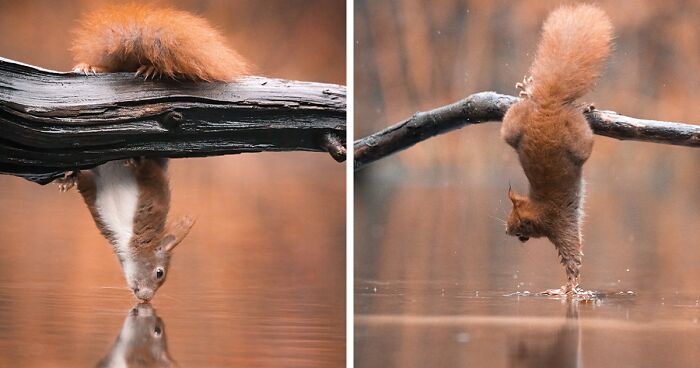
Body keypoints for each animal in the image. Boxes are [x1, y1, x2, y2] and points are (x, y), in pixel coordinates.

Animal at [56, 2, 249, 300]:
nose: (145, 297)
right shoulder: (127, 189)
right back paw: (90, 66)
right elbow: (97, 177)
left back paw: (149, 68)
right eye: (159, 273)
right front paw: (68, 177)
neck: (128, 238)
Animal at [500, 4, 608, 294]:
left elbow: (572, 256)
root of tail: (549, 106)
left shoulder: (560, 224)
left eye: (517, 226)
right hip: (559, 136)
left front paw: (570, 288)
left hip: (533, 130)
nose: (506, 232)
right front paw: (569, 288)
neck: (539, 210)